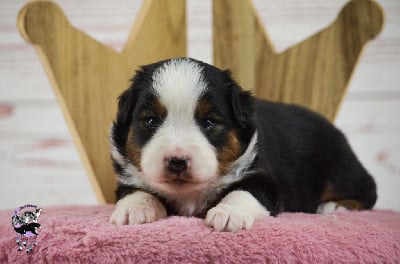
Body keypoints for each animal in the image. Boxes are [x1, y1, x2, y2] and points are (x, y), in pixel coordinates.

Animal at [108, 57, 376, 231]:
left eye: (208, 122)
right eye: (150, 120)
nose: (177, 161)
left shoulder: (263, 177)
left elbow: (243, 192)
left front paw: (228, 214)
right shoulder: (129, 177)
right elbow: (135, 190)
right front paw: (134, 209)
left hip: (341, 168)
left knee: (368, 190)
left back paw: (335, 207)